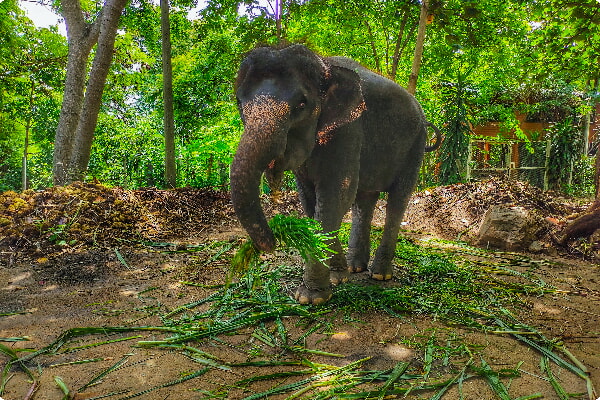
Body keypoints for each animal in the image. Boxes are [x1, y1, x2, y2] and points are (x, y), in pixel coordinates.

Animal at [230, 44, 440, 306]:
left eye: (302, 105)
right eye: (239, 103)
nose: (272, 242)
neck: (323, 65)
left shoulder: (349, 129)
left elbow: (335, 195)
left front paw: (311, 298)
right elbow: (310, 201)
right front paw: (338, 276)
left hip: (415, 145)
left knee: (397, 200)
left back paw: (380, 274)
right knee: (365, 200)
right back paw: (355, 267)